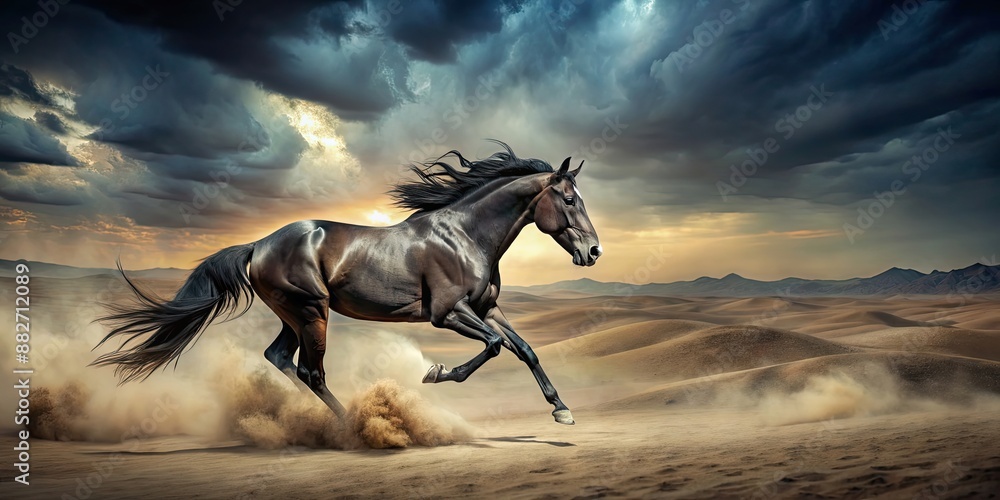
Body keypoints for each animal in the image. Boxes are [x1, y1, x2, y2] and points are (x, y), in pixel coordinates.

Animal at [93, 142, 602, 425]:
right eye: (569, 199)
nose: (594, 252)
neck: (463, 235)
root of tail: (258, 244)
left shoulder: (487, 307)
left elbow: (524, 349)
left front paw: (561, 409)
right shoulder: (447, 314)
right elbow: (495, 347)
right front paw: (435, 373)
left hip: (295, 314)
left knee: (280, 358)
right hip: (310, 311)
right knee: (310, 371)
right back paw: (350, 429)